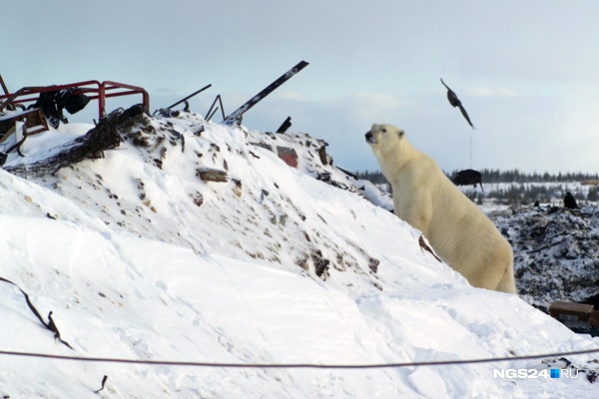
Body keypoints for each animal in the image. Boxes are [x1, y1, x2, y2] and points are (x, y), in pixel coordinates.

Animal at [364, 123, 516, 296]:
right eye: (373, 126)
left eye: (384, 129)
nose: (368, 135)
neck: (404, 166)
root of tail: (508, 256)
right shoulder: (399, 190)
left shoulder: (417, 181)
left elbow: (418, 215)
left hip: (479, 259)